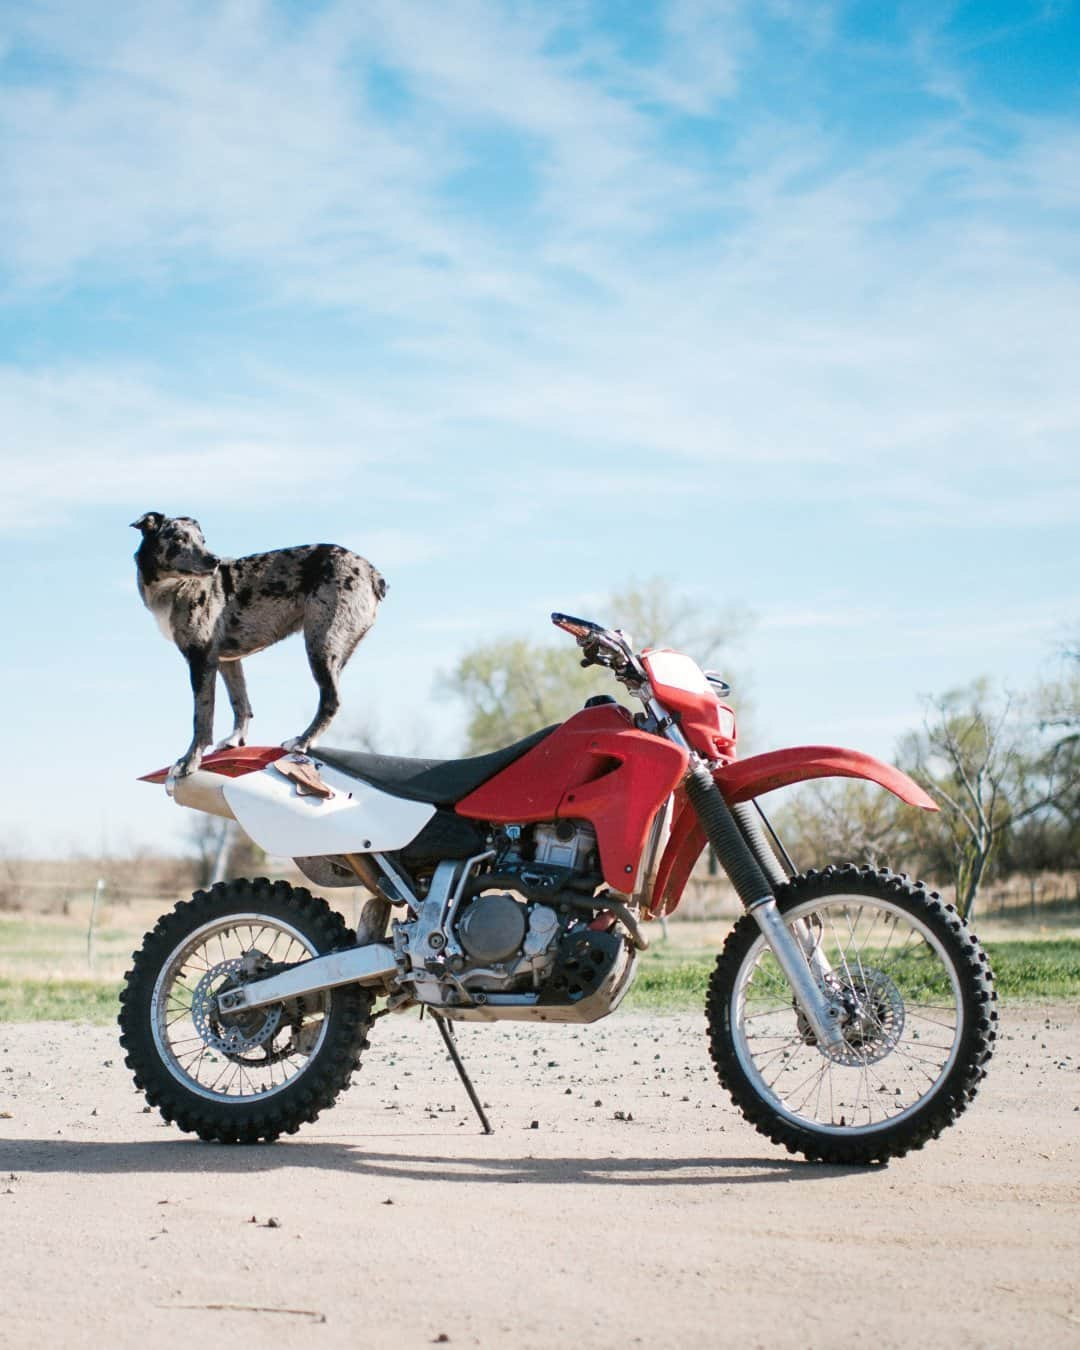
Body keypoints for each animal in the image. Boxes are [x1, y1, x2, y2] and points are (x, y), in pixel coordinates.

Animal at [132, 507, 388, 783]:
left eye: (202, 540)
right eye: (179, 538)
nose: (214, 560)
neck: (173, 586)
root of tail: (371, 572)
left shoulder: (200, 660)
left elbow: (202, 717)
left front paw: (189, 761)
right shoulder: (226, 661)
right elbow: (240, 703)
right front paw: (236, 740)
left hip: (320, 645)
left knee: (331, 700)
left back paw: (302, 740)